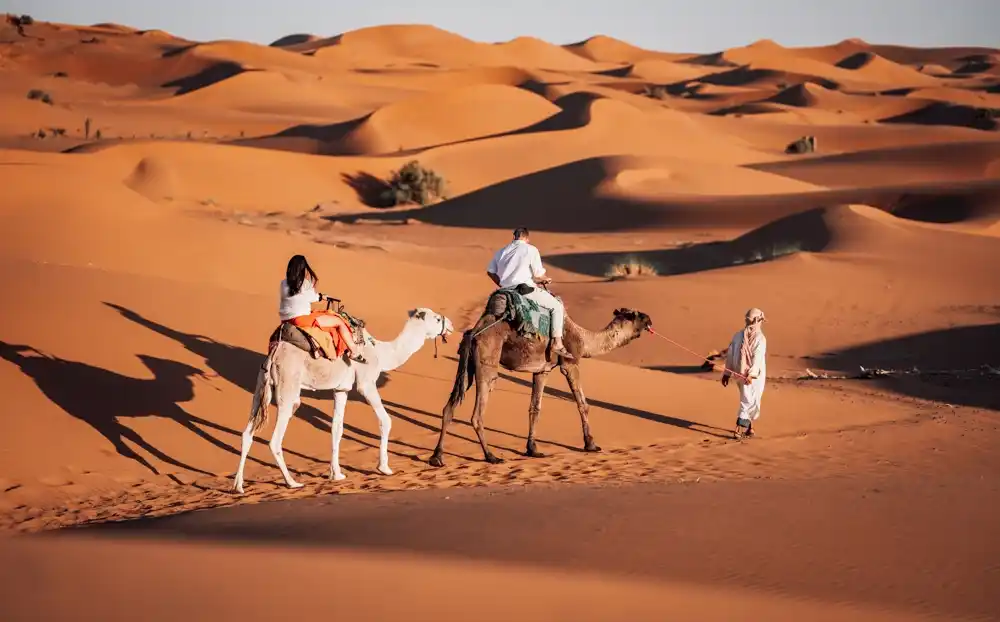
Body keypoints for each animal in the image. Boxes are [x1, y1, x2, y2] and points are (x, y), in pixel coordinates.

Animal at [234, 306, 454, 492]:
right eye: (436, 318)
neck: (380, 353)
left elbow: (337, 428)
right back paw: (292, 482)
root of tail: (274, 354)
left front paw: (336, 474)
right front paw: (384, 467)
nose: (450, 325)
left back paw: (238, 485)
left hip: (261, 385)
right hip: (288, 386)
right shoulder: (366, 383)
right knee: (275, 439)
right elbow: (386, 420)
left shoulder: (341, 389)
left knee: (247, 433)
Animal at [428, 294, 648, 466]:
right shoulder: (570, 363)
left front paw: (533, 449)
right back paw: (491, 456)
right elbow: (583, 404)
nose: (649, 319)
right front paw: (591, 444)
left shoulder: (542, 370)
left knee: (449, 407)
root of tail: (473, 332)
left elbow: (535, 408)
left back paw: (437, 457)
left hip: (467, 366)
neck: (584, 339)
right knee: (477, 413)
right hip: (487, 361)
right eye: (636, 315)